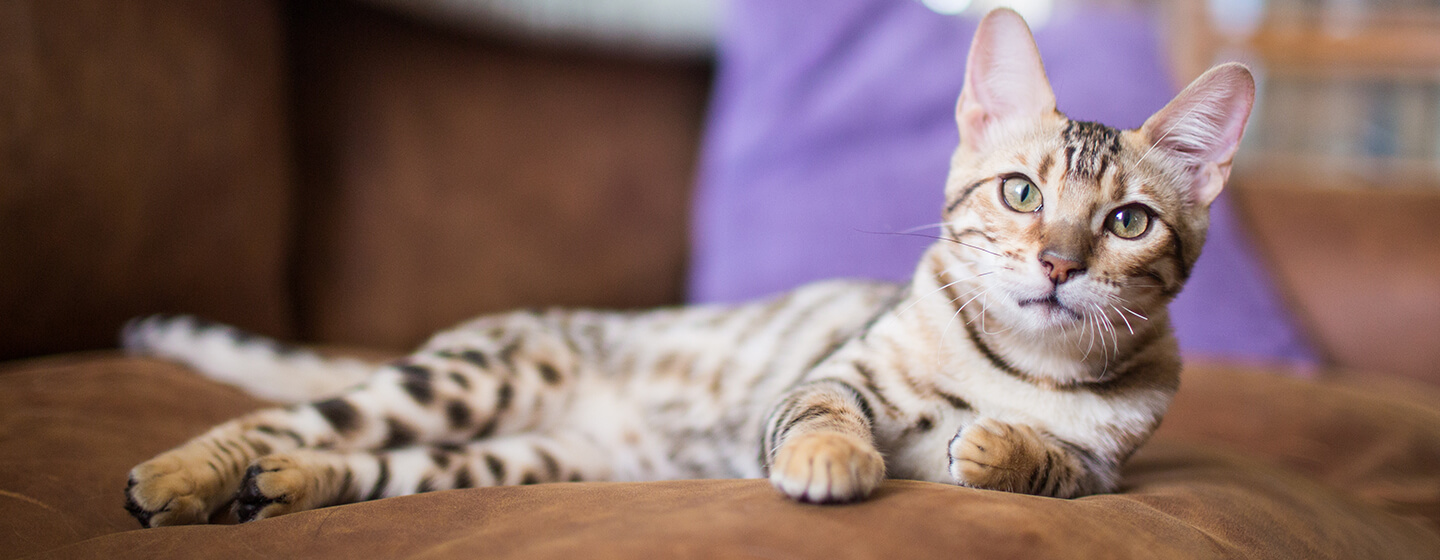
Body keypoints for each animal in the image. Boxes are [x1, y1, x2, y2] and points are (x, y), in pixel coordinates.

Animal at [120, 6, 1249, 526]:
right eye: (1021, 194)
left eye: (1130, 221)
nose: (1057, 263)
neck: (1022, 364)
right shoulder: (834, 372)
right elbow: (824, 412)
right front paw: (834, 461)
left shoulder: (1111, 468)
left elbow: (1063, 467)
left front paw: (1004, 448)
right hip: (472, 378)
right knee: (294, 417)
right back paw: (184, 474)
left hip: (526, 457)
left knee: (376, 466)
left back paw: (282, 487)